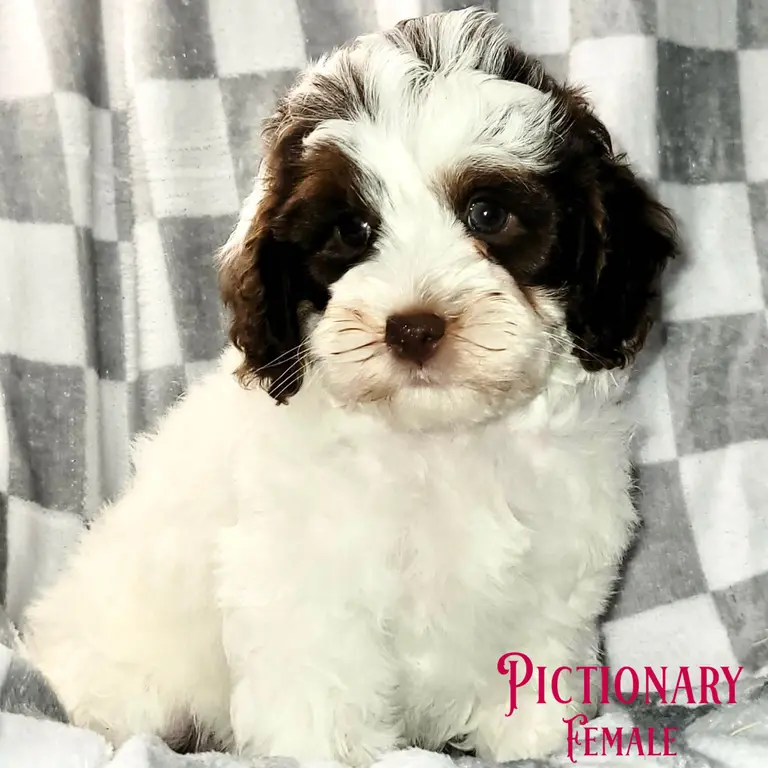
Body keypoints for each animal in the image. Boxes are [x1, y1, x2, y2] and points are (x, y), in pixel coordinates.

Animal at [23, 8, 677, 765]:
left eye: (488, 215)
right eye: (353, 229)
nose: (414, 328)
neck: (440, 440)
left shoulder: (554, 566)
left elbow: (533, 663)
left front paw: (537, 740)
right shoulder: (304, 579)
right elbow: (318, 687)